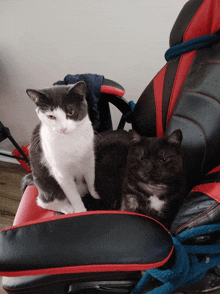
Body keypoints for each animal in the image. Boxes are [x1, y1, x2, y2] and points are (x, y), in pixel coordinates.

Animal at [26, 81, 99, 215]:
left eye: (70, 112)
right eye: (51, 116)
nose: (63, 128)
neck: (70, 139)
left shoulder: (89, 160)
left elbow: (91, 178)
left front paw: (95, 194)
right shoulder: (61, 173)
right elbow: (72, 194)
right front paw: (80, 211)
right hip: (46, 184)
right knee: (44, 201)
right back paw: (67, 208)